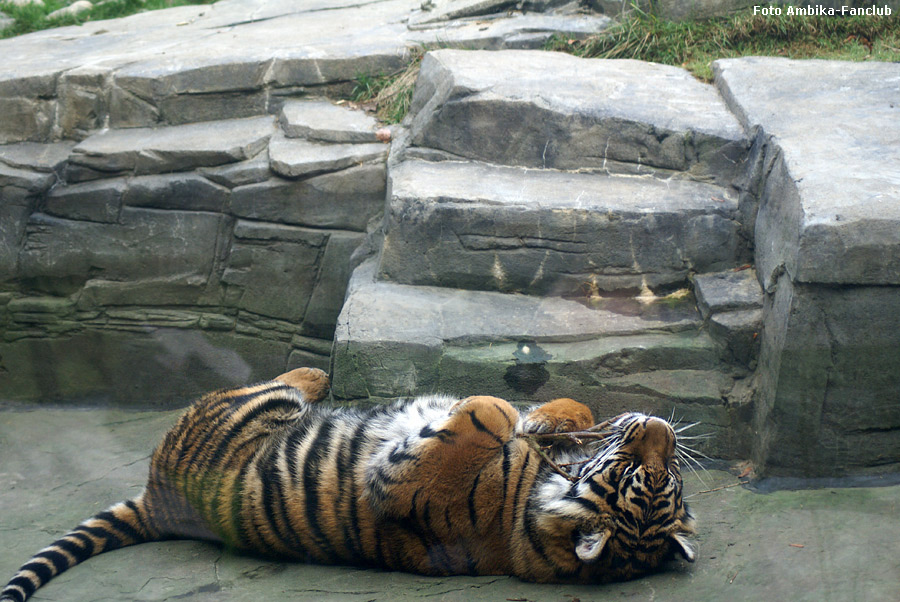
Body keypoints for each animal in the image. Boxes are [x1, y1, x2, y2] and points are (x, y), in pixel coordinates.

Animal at [1, 366, 696, 600]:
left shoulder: (403, 480)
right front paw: (553, 416)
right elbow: (550, 412)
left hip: (248, 409)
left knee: (285, 382)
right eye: (654, 471)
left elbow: (490, 414)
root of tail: (155, 501)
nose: (660, 425)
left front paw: (500, 411)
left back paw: (316, 374)